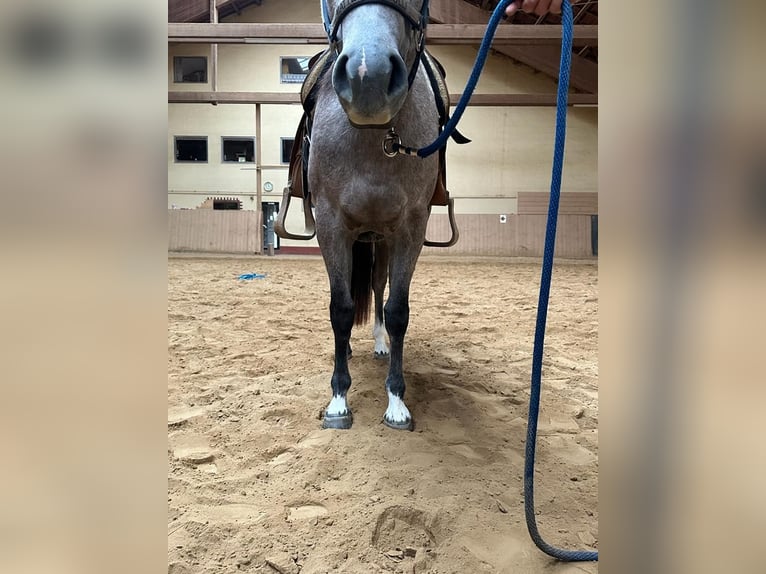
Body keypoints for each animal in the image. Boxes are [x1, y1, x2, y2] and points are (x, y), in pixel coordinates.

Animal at [312, 0, 440, 432]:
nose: (368, 75)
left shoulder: (408, 229)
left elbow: (397, 310)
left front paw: (397, 402)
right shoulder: (331, 226)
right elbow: (341, 309)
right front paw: (338, 401)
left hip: (380, 241)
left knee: (378, 288)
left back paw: (381, 344)